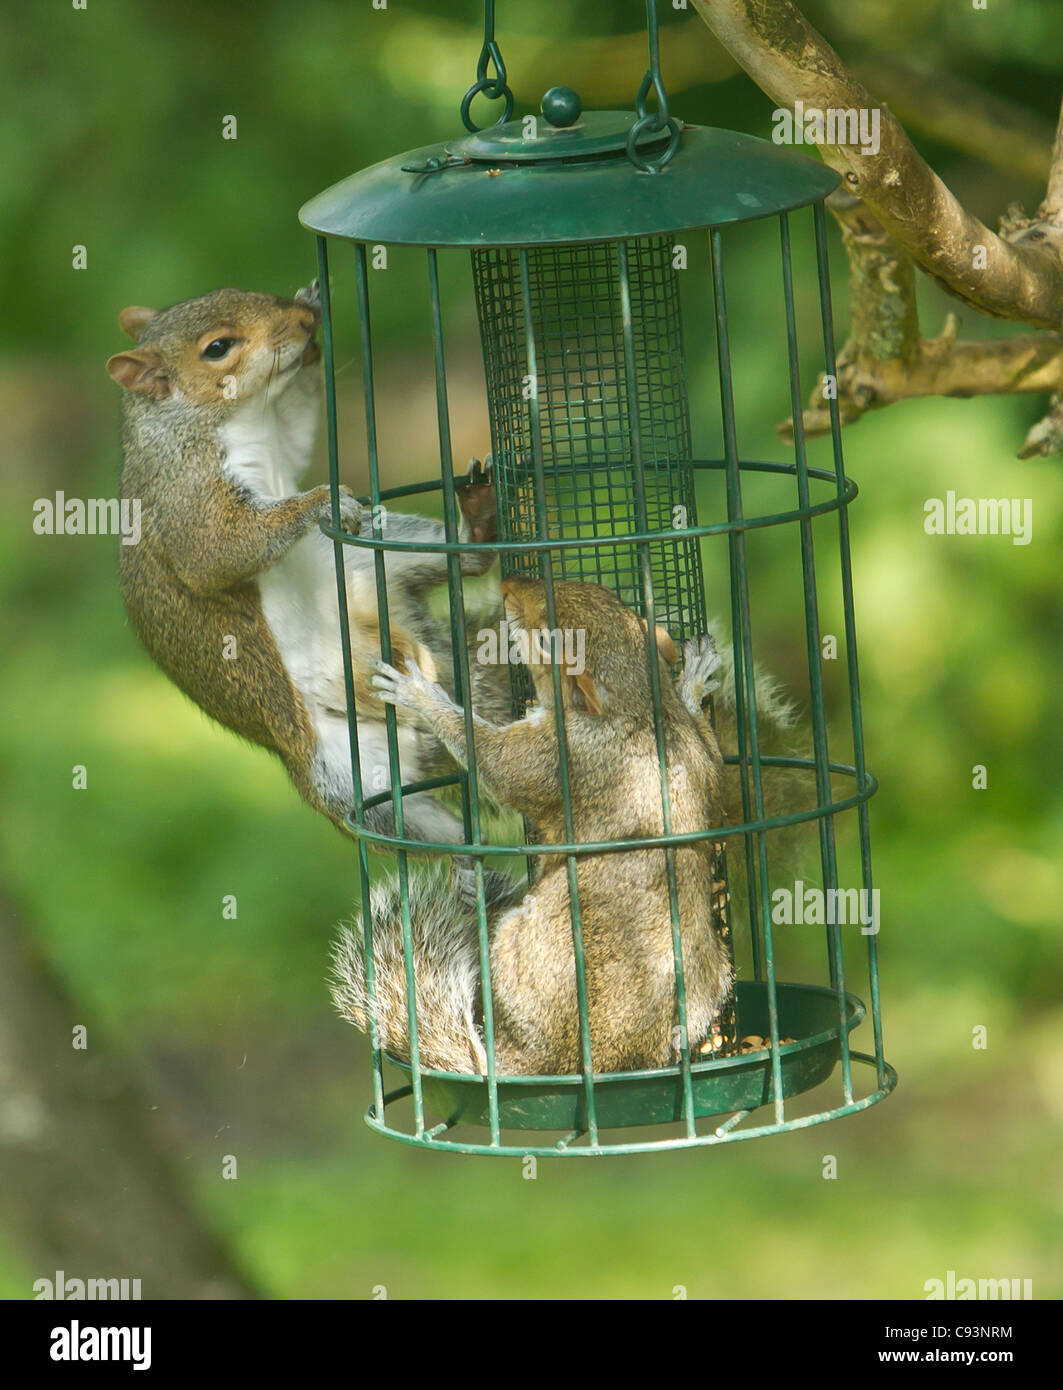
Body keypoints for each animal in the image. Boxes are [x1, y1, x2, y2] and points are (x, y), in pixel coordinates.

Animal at [106, 284, 501, 844]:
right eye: (217, 347)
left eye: (244, 292)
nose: (303, 321)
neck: (235, 418)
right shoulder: (185, 494)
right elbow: (216, 552)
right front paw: (319, 504)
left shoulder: (282, 439)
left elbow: (300, 427)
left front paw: (314, 309)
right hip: (349, 779)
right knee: (412, 825)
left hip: (373, 557)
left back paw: (477, 526)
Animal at [331, 577, 735, 1075]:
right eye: (603, 592)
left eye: (546, 640)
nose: (508, 588)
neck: (637, 706)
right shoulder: (696, 756)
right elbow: (714, 768)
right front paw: (694, 679)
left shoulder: (555, 755)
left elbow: (490, 760)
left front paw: (418, 693)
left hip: (512, 950)